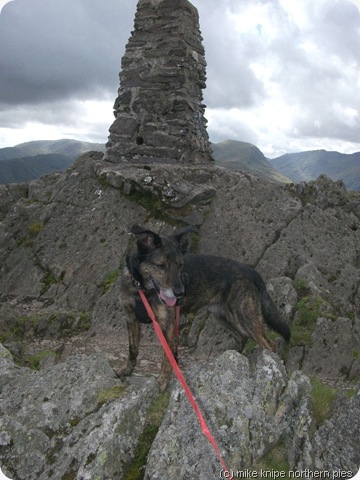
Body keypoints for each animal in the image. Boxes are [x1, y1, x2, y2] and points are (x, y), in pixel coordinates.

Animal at [119, 225, 292, 390]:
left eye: (180, 265)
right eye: (161, 265)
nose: (180, 293)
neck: (141, 287)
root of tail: (250, 270)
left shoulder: (166, 325)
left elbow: (167, 357)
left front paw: (162, 382)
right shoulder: (131, 318)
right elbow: (132, 349)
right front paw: (126, 370)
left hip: (245, 317)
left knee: (269, 344)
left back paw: (272, 367)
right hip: (222, 316)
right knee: (241, 337)